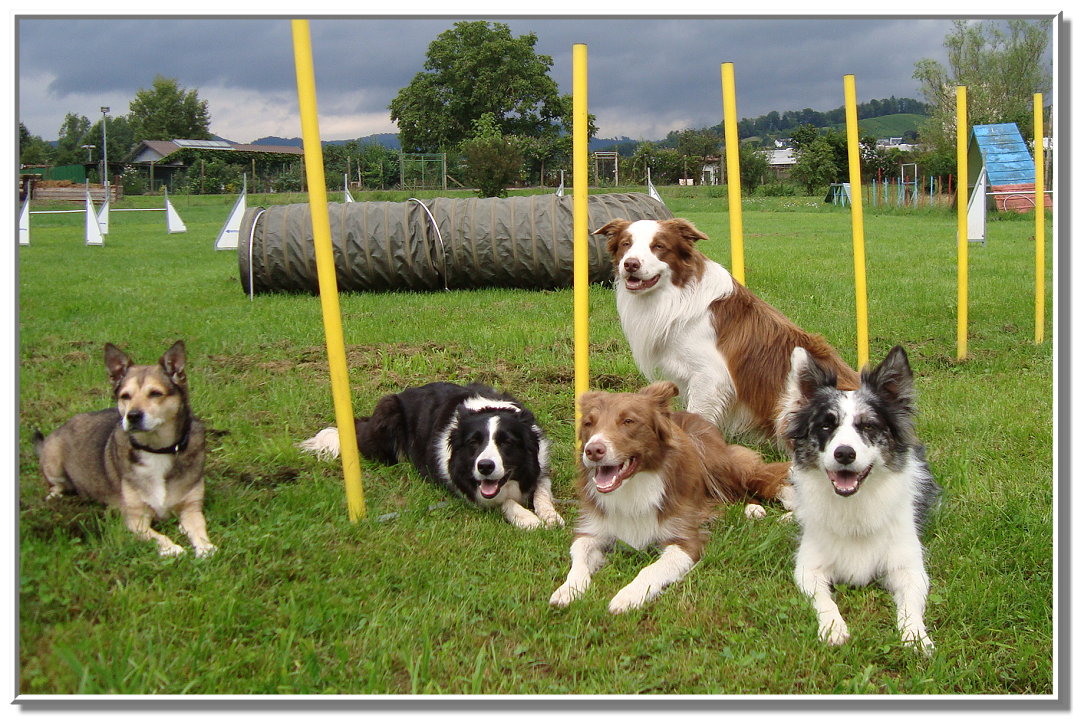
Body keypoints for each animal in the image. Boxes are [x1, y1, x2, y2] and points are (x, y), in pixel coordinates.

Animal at [34, 341, 216, 556]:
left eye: (155, 393)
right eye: (125, 396)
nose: (133, 416)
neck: (156, 450)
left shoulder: (191, 508)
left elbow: (198, 527)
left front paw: (205, 547)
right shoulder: (135, 518)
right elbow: (157, 536)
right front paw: (171, 548)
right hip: (54, 459)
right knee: (57, 484)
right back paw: (54, 497)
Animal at [551, 380, 790, 612]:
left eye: (628, 421)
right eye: (588, 423)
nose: (593, 450)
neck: (633, 487)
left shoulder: (685, 540)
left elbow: (652, 569)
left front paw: (628, 596)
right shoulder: (591, 530)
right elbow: (578, 558)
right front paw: (568, 590)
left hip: (717, 463)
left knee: (748, 484)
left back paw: (754, 508)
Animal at [595, 215, 855, 445]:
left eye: (658, 246)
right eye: (626, 244)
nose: (630, 264)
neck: (675, 294)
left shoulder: (710, 377)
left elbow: (696, 416)